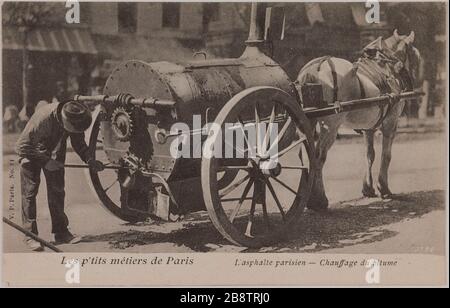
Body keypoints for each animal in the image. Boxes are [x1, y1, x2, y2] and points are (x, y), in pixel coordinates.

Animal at [298, 30, 422, 211]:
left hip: (306, 122)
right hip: (331, 126)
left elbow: (369, 154)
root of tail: (317, 67)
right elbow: (386, 155)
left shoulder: (368, 128)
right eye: (416, 56)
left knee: (305, 154)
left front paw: (368, 188)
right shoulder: (391, 123)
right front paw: (383, 187)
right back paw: (319, 200)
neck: (387, 67)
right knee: (319, 156)